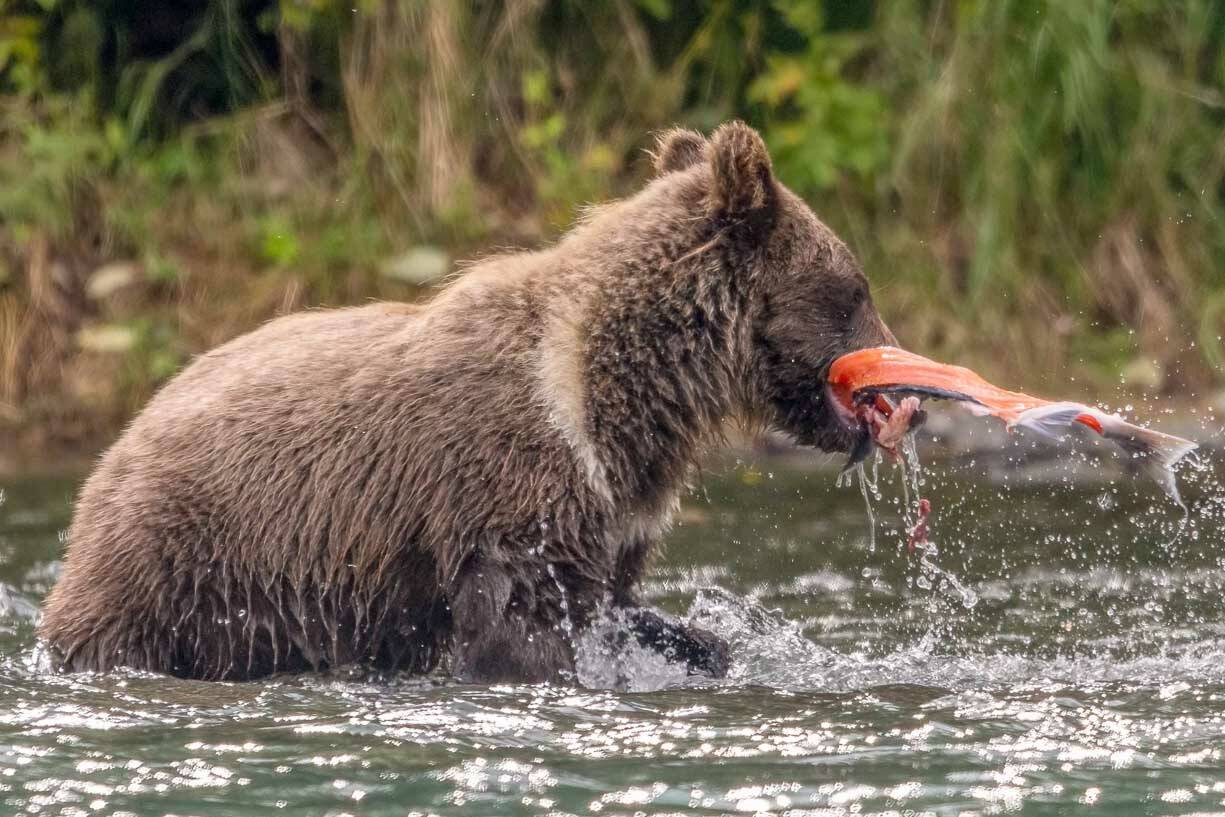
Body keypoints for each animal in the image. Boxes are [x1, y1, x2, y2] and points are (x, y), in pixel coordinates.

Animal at [38, 123, 896, 685]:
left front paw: (705, 645)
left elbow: (612, 603)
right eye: (856, 289)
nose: (902, 398)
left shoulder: (617, 502)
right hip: (184, 561)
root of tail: (116, 446)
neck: (627, 392)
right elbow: (517, 625)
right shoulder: (506, 483)